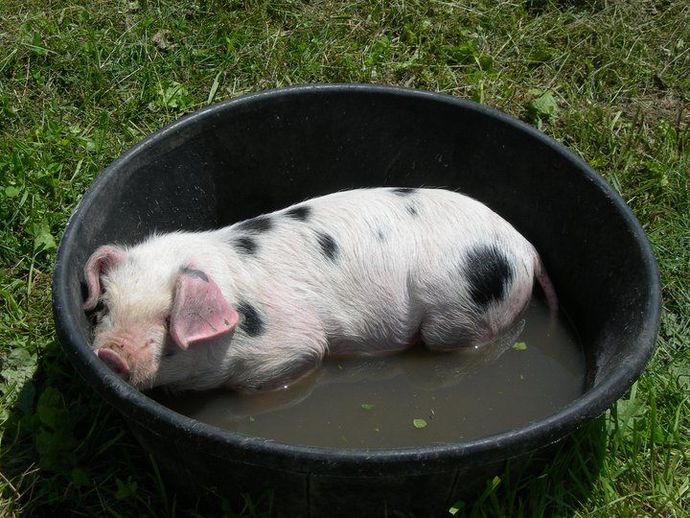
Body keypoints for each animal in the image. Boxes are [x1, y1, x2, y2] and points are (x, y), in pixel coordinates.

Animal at [83, 187, 557, 393]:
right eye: (105, 306)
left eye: (167, 320)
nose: (110, 355)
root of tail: (523, 246)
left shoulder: (291, 348)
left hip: (460, 313)